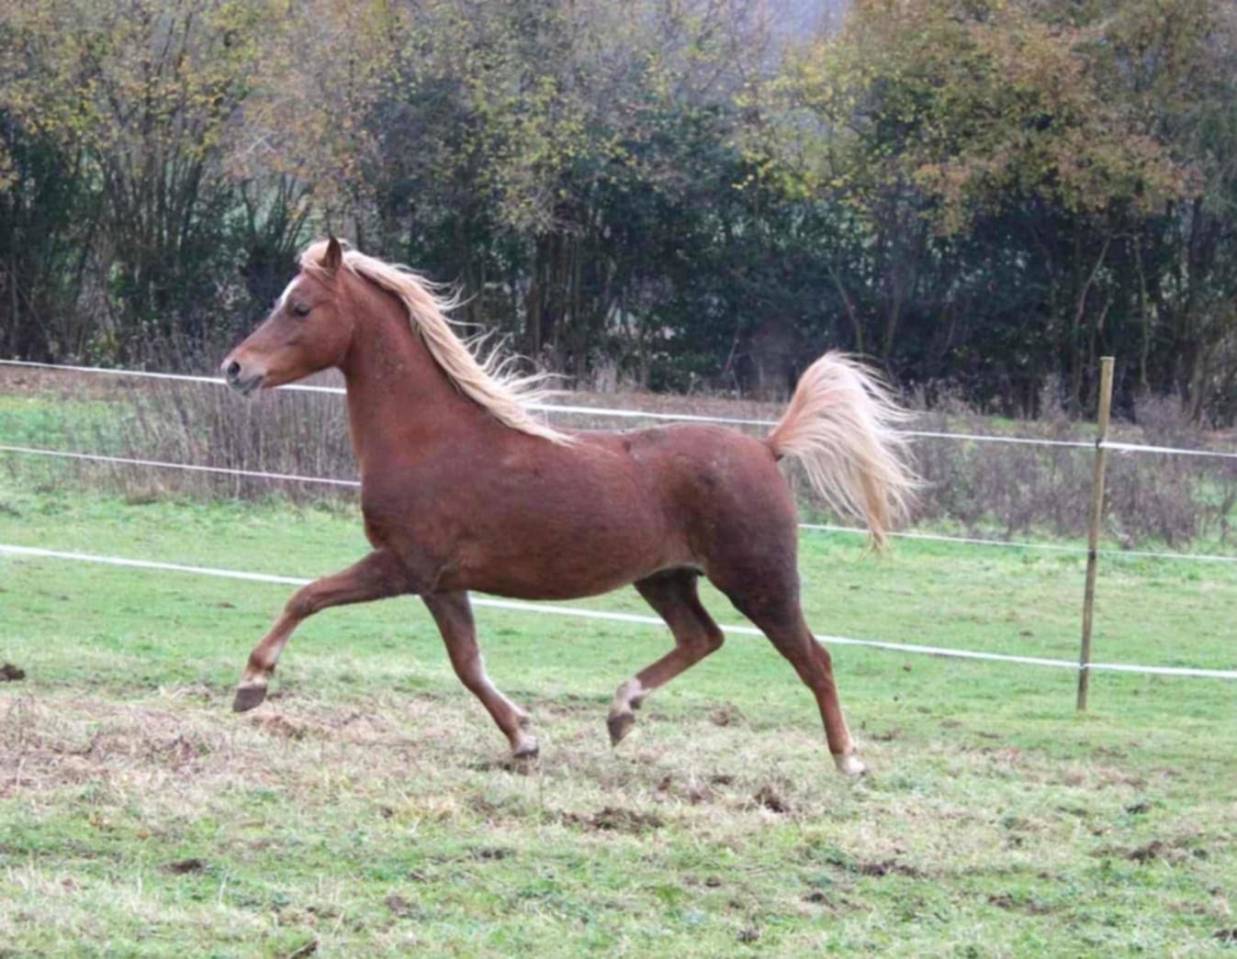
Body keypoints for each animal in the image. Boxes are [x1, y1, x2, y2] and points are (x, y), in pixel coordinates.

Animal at [221, 237, 916, 776]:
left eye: (300, 306)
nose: (234, 368)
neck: (432, 438)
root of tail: (767, 448)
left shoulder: (403, 566)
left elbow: (306, 597)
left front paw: (251, 685)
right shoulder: (441, 583)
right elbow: (468, 663)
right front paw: (524, 740)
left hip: (759, 580)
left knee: (812, 658)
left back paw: (848, 760)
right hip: (665, 578)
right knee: (703, 637)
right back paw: (621, 712)